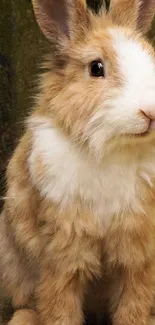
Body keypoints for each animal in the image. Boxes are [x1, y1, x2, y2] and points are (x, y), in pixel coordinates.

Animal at [1, 0, 155, 322]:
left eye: (151, 57)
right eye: (96, 68)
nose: (150, 112)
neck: (111, 149)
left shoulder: (138, 251)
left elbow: (133, 303)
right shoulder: (62, 250)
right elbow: (60, 306)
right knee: (24, 305)